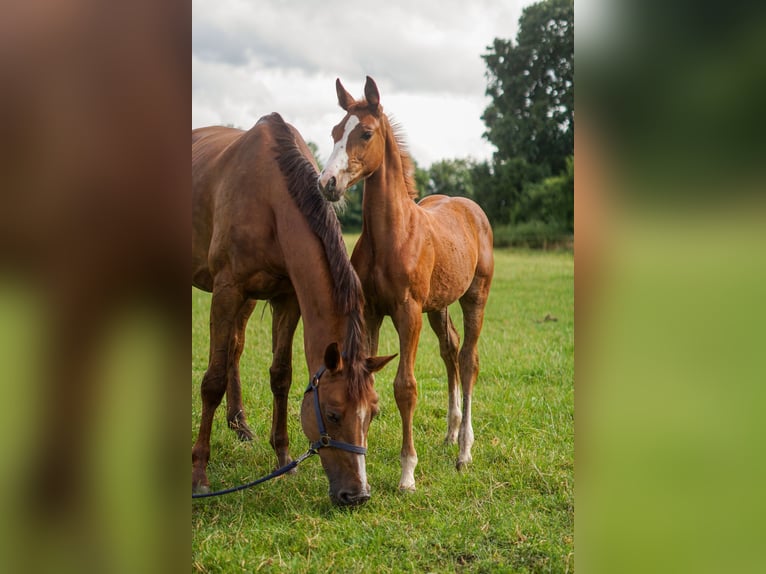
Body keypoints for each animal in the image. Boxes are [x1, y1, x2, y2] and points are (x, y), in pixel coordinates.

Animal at [192, 113, 396, 508]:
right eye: (332, 414)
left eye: (374, 413)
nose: (357, 494)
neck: (268, 195)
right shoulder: (226, 290)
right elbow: (212, 381)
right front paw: (199, 475)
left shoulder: (286, 299)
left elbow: (281, 376)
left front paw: (284, 459)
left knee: (236, 349)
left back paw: (240, 424)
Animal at [320, 75, 496, 490]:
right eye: (335, 131)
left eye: (366, 133)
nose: (327, 182)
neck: (393, 235)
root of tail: (470, 207)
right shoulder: (371, 312)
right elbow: (364, 382)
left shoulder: (407, 311)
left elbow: (406, 387)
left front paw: (407, 473)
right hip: (439, 305)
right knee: (450, 349)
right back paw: (450, 433)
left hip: (475, 296)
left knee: (468, 359)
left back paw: (464, 450)